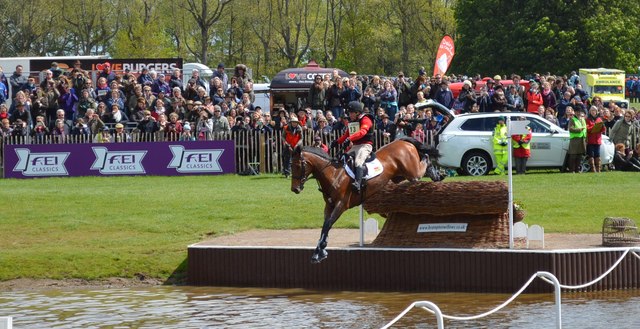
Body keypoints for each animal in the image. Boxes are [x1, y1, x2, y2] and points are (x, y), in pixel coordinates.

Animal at [292, 136, 444, 262]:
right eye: (291, 166)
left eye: (298, 166)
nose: (294, 189)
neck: (333, 174)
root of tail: (403, 142)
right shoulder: (329, 205)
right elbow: (325, 226)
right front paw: (319, 251)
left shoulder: (341, 205)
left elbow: (328, 224)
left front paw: (320, 251)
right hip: (399, 177)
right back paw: (436, 175)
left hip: (412, 173)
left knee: (425, 159)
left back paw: (437, 173)